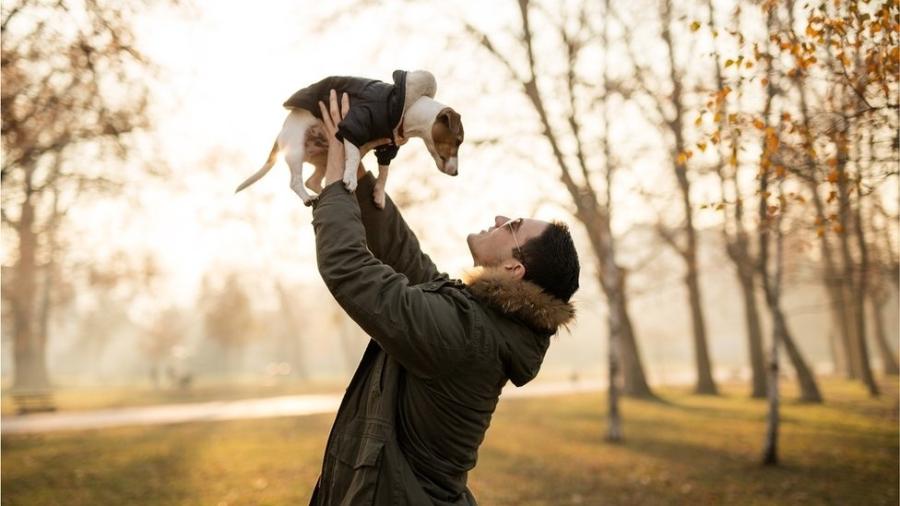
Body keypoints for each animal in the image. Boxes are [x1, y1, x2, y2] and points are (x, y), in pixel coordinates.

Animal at [232, 69, 464, 208]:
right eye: (459, 140)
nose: (456, 174)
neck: (408, 109)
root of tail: (280, 134)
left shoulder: (387, 149)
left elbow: (384, 172)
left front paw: (379, 194)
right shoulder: (352, 126)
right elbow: (353, 157)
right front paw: (351, 179)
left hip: (322, 158)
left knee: (314, 180)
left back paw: (324, 190)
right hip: (296, 149)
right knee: (296, 182)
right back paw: (309, 197)